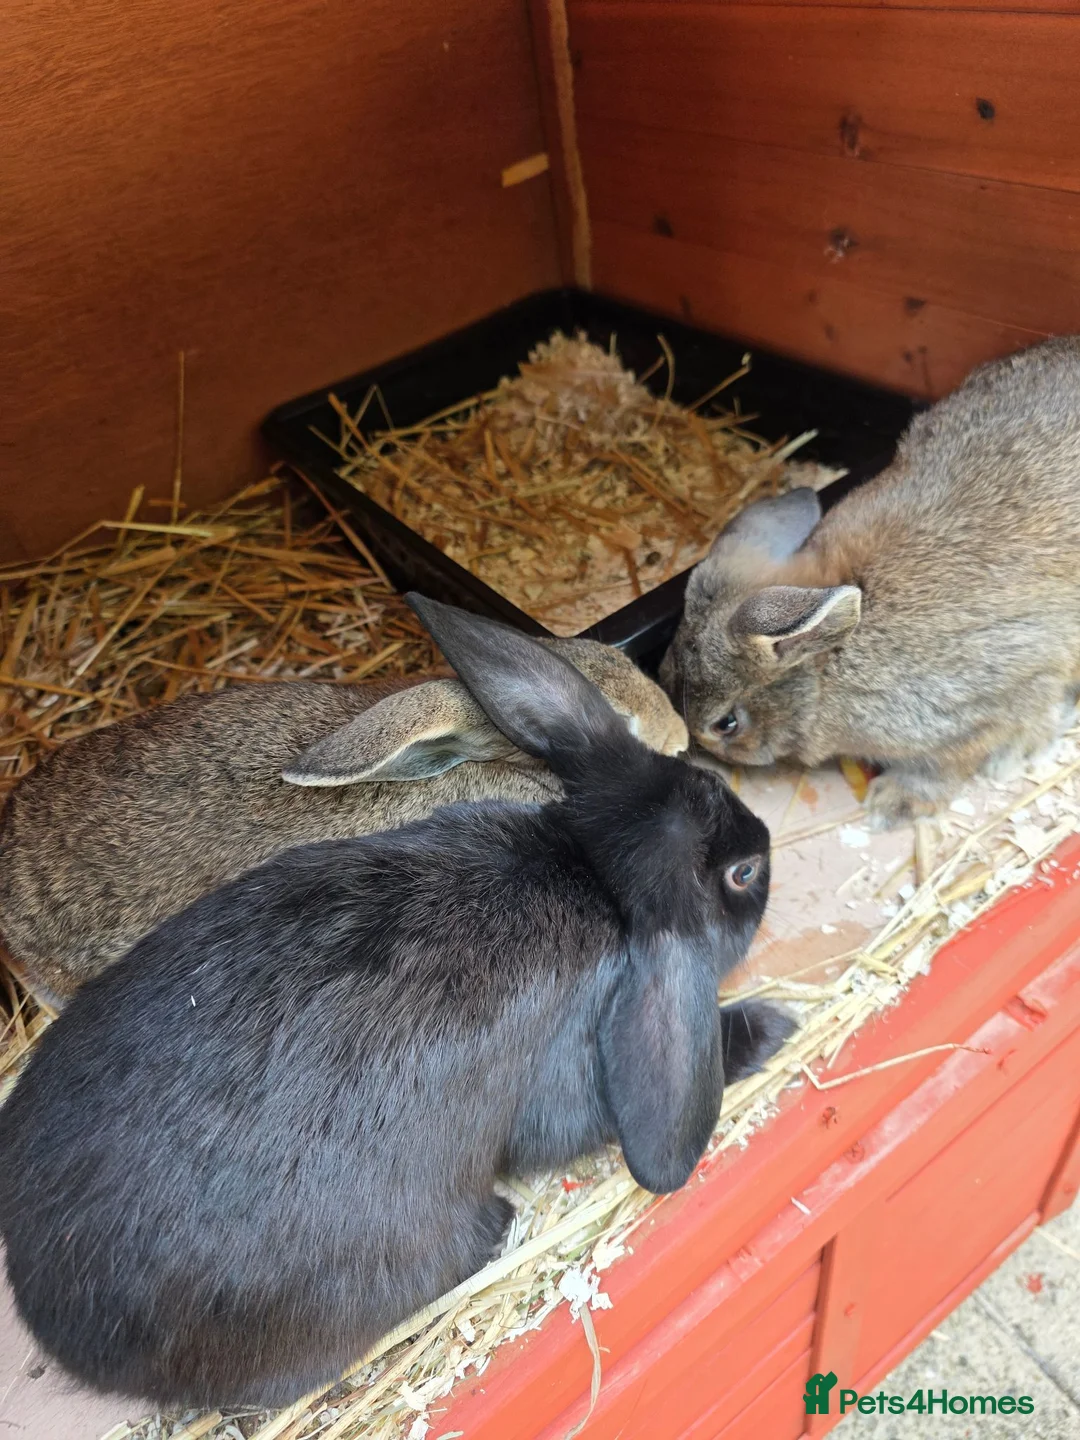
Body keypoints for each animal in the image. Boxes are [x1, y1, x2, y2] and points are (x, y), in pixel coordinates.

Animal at [660, 336, 1080, 826]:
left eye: (725, 724)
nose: (693, 740)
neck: (827, 665)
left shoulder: (981, 709)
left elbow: (946, 766)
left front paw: (891, 805)